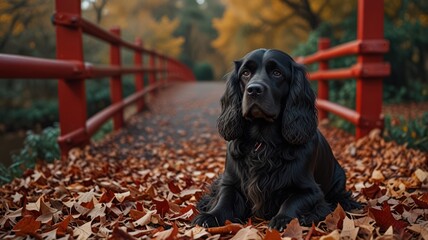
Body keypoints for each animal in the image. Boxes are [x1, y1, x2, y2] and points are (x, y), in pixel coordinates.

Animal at [192, 48, 360, 229]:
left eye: (277, 73)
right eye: (245, 73)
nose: (253, 90)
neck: (262, 141)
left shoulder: (310, 190)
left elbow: (292, 201)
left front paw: (283, 219)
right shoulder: (229, 182)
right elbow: (224, 200)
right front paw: (210, 216)